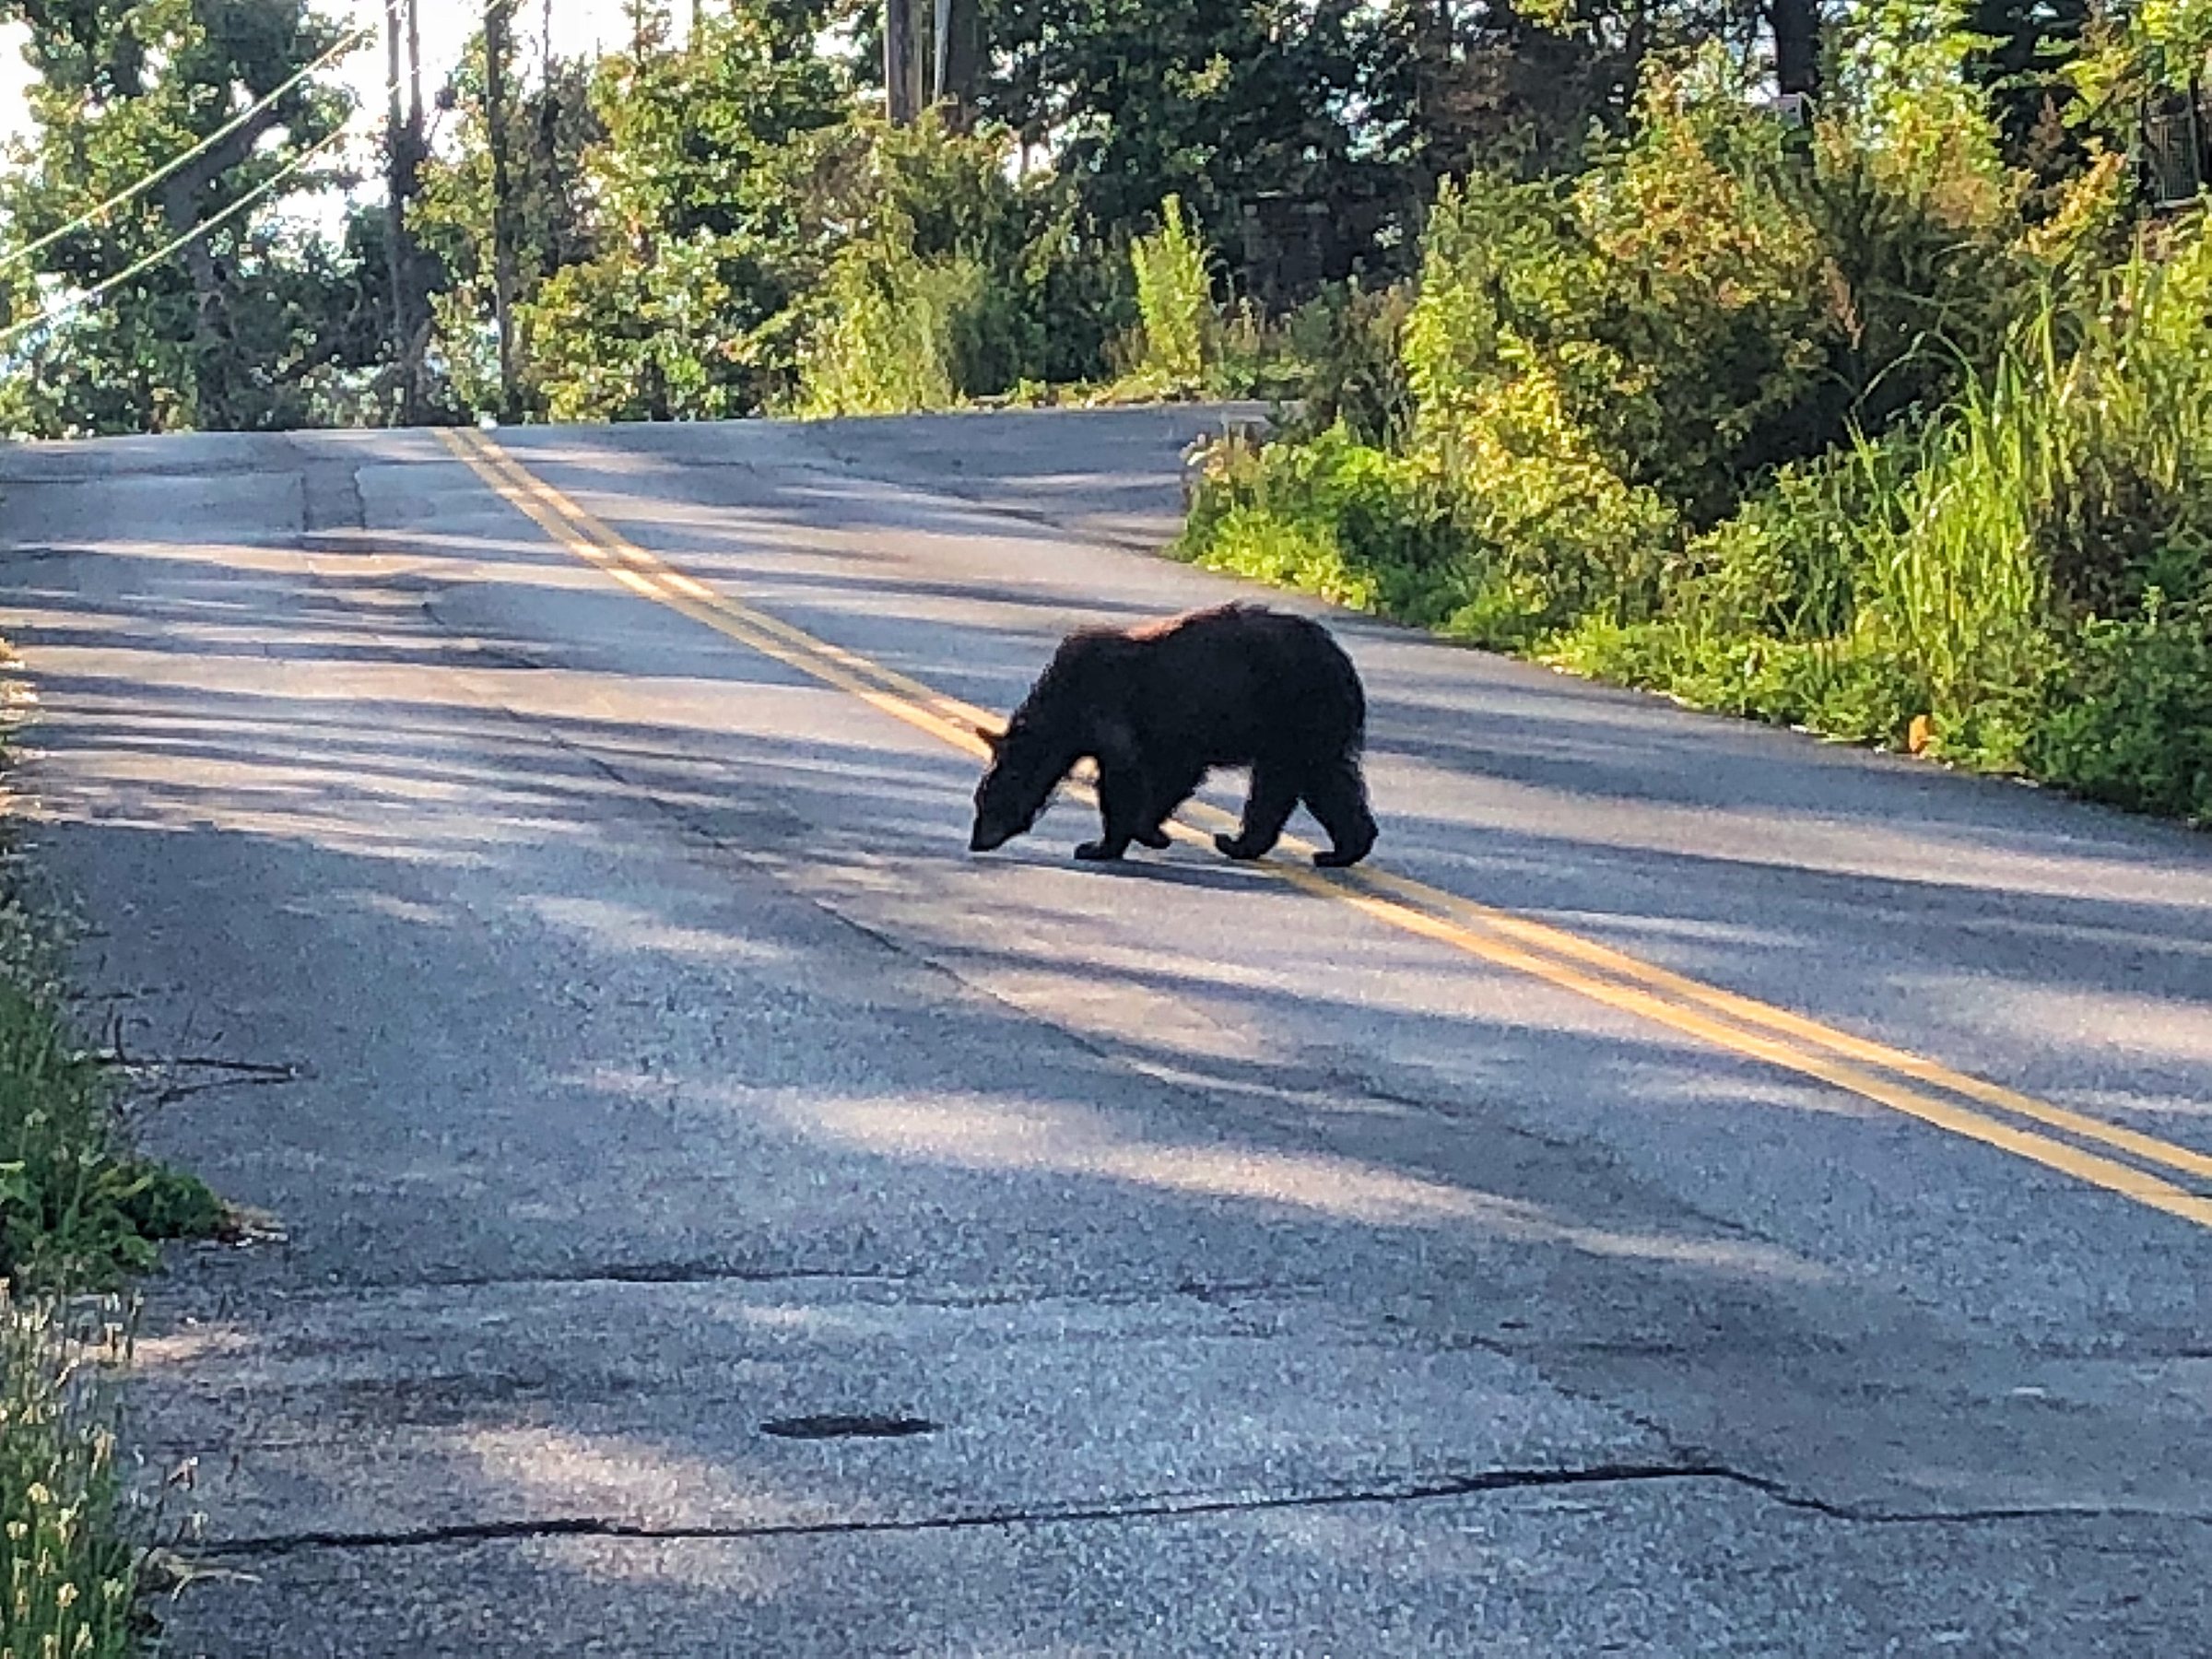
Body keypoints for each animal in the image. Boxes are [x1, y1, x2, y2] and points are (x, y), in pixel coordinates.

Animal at [966, 602, 1378, 868]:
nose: (976, 841)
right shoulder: (1170, 737)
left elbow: (1126, 778)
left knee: (1283, 782)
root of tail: (1345, 664)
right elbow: (1171, 776)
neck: (1064, 705)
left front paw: (1100, 845)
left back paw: (1238, 842)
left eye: (987, 800)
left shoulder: (1110, 709)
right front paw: (1150, 832)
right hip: (1309, 729)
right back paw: (1340, 850)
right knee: (1325, 781)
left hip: (1297, 713)